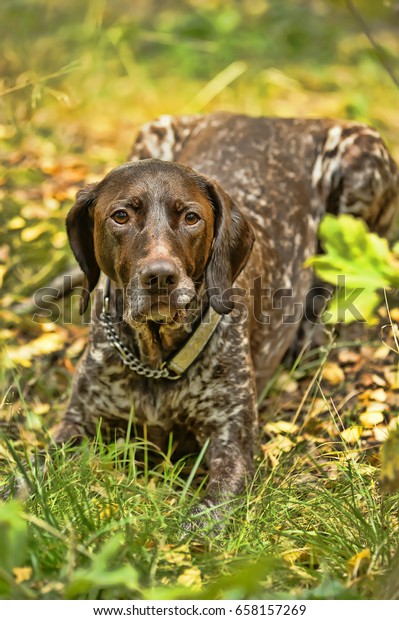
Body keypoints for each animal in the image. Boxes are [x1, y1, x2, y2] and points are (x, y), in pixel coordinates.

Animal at [50, 111, 399, 524]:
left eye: (191, 217)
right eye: (120, 216)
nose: (160, 277)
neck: (156, 358)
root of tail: (271, 119)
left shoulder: (230, 446)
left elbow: (201, 522)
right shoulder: (78, 422)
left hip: (362, 161)